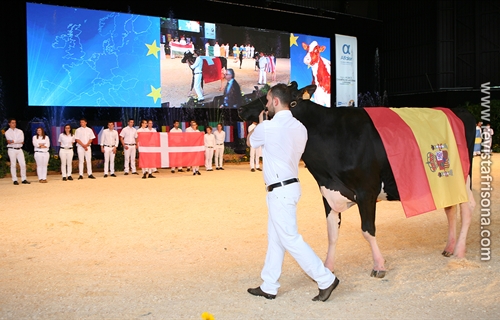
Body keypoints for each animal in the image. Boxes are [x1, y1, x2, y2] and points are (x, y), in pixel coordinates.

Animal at [238, 82, 476, 278]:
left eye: (268, 96)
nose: (241, 109)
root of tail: (458, 110)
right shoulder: (328, 193)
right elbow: (332, 233)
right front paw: (328, 266)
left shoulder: (367, 191)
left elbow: (368, 230)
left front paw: (379, 265)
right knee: (450, 208)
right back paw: (449, 247)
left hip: (463, 177)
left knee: (467, 209)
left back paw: (460, 251)